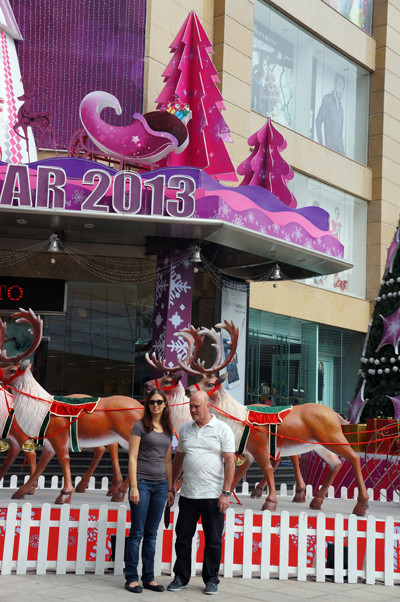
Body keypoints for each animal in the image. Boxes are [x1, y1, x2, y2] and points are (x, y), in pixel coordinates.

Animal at [0, 308, 145, 504]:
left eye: (12, 370)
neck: (40, 410)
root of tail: (143, 409)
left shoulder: (58, 436)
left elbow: (64, 458)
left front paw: (64, 495)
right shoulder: (48, 442)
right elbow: (41, 466)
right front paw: (21, 491)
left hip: (127, 435)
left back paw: (117, 492)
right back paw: (118, 493)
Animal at [178, 320, 369, 516]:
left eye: (210, 384)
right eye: (199, 381)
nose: (188, 390)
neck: (237, 421)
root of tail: (336, 415)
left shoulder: (259, 445)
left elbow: (267, 468)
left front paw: (270, 502)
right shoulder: (246, 451)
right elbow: (237, 474)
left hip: (332, 436)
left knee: (353, 457)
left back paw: (361, 505)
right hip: (318, 445)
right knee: (336, 462)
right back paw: (316, 501)